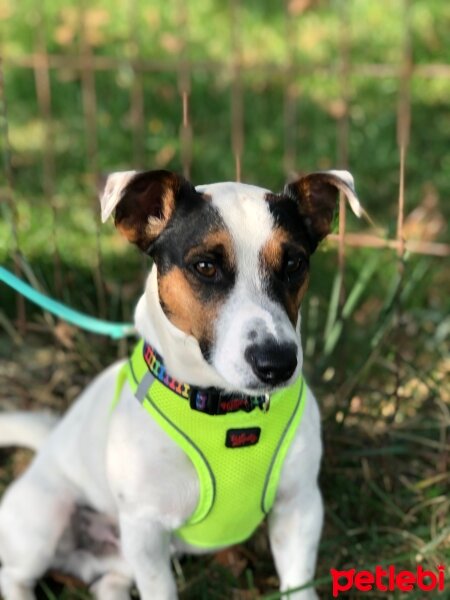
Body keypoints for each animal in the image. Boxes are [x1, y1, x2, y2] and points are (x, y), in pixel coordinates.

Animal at [0, 166, 360, 596]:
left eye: (294, 263)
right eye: (205, 266)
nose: (278, 363)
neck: (225, 408)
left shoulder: (300, 506)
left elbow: (297, 582)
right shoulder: (146, 528)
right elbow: (160, 590)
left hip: (120, 557)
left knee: (108, 584)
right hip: (45, 521)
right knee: (14, 576)